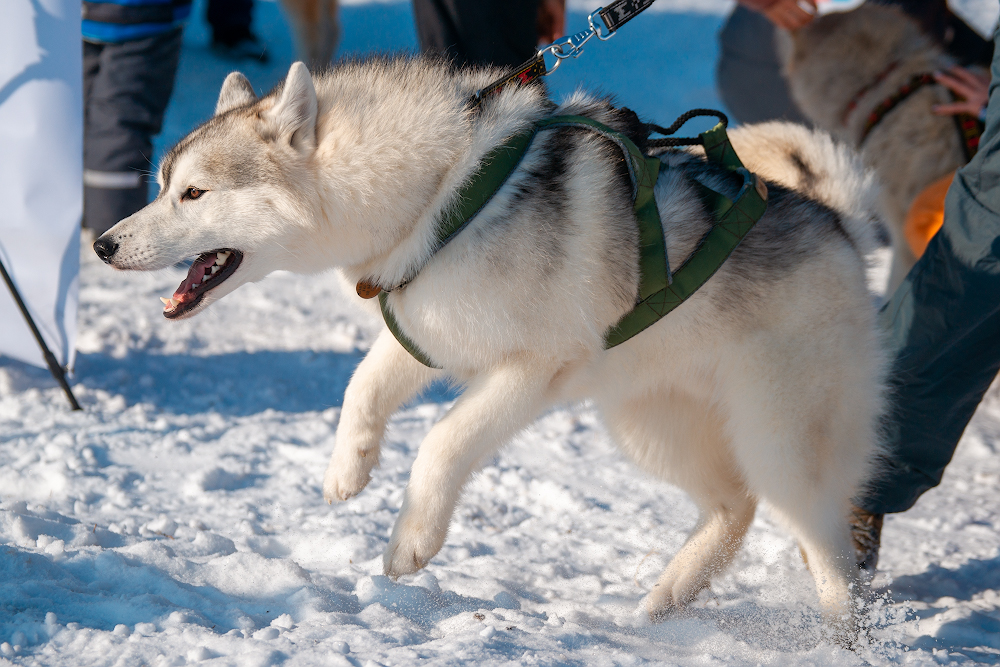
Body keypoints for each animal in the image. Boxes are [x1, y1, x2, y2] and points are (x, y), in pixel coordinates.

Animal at [94, 60, 888, 640]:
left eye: (194, 194)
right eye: (162, 184)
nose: (103, 244)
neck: (437, 190)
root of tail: (841, 225)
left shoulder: (533, 371)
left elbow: (443, 442)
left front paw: (411, 540)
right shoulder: (425, 327)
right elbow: (363, 385)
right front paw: (349, 467)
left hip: (779, 440)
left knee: (826, 547)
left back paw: (836, 632)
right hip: (649, 422)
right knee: (733, 507)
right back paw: (668, 596)